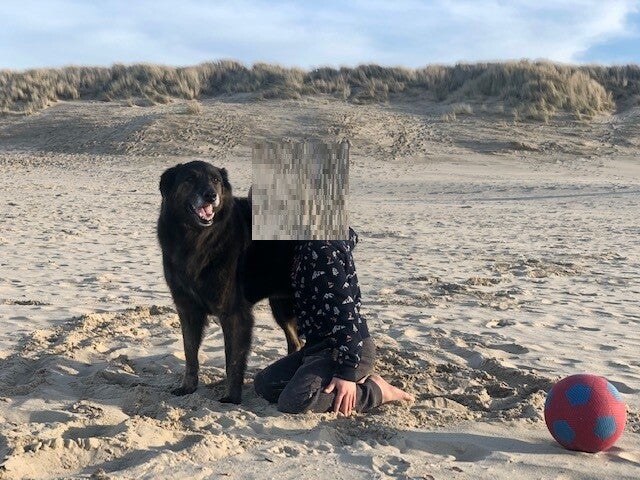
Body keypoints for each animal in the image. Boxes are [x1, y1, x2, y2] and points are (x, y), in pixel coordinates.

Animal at [157, 160, 302, 404]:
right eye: (190, 179)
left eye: (215, 180)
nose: (210, 195)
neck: (196, 239)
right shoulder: (188, 310)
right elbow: (190, 354)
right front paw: (188, 387)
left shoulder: (234, 314)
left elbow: (233, 361)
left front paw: (231, 398)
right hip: (281, 307)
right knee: (296, 343)